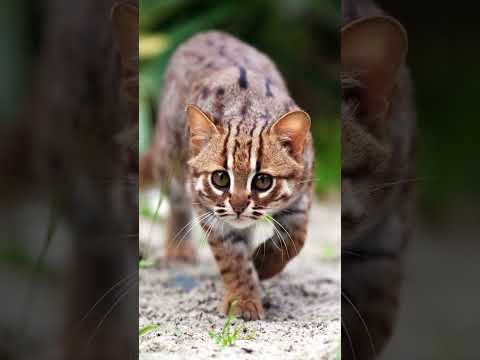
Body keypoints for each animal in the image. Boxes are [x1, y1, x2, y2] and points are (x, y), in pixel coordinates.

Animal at [142, 30, 316, 318]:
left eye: (263, 181)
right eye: (220, 178)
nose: (237, 206)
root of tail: (206, 33)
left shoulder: (301, 194)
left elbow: (296, 238)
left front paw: (264, 263)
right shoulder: (209, 210)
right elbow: (231, 258)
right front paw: (242, 300)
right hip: (171, 161)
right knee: (176, 204)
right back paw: (179, 251)